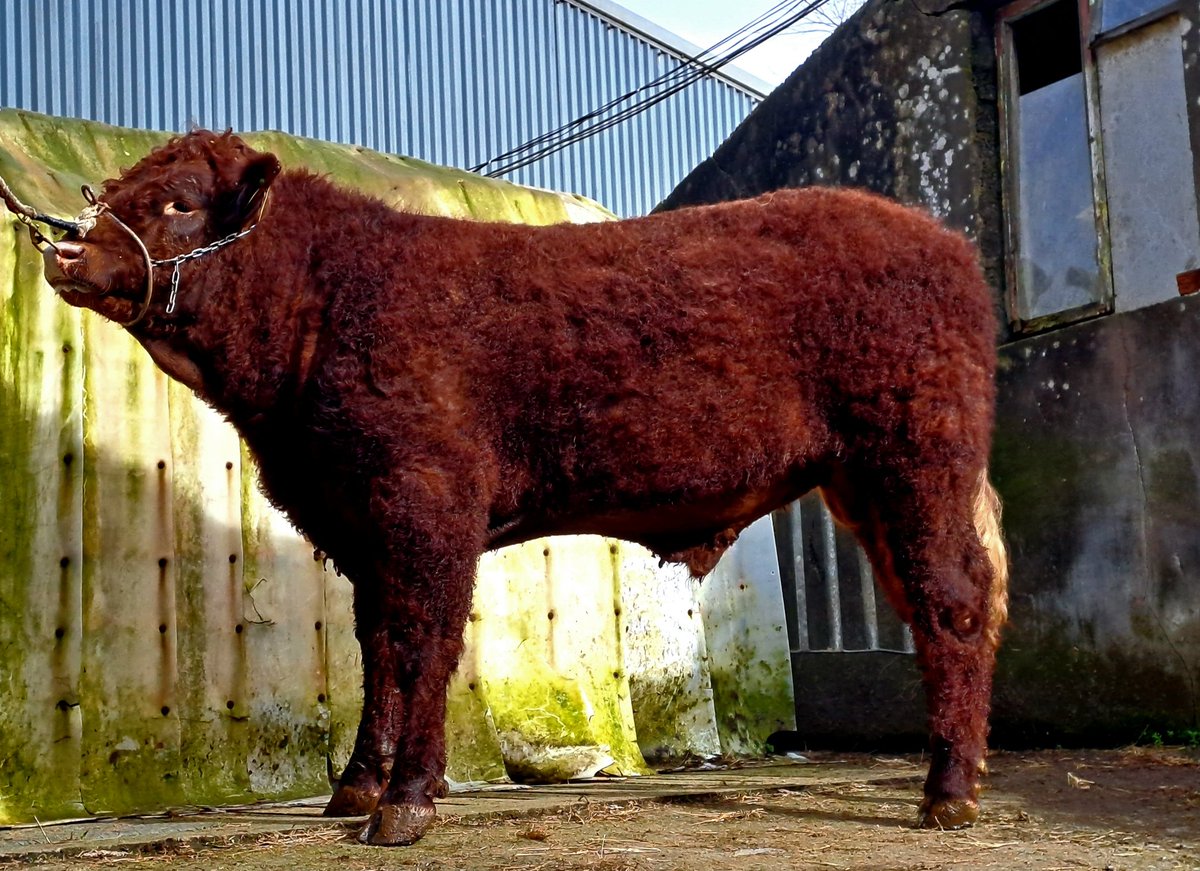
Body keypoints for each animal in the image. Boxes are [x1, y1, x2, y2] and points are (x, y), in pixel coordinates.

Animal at [40, 130, 1007, 846]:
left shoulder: (427, 503)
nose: (65, 250)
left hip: (915, 457)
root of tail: (944, 241)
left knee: (955, 603)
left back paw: (949, 791)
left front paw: (406, 800)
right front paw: (357, 786)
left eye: (178, 200)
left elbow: (423, 645)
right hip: (865, 481)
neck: (330, 297)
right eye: (117, 185)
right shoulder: (359, 524)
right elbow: (377, 651)